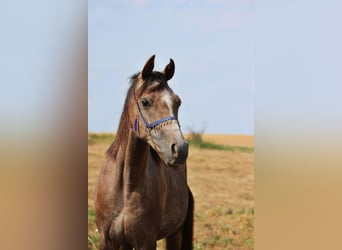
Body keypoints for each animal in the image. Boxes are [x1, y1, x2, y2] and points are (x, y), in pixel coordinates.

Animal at [95, 55, 194, 250]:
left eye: (178, 102)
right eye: (145, 102)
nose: (179, 149)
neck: (126, 187)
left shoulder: (146, 241)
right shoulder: (107, 241)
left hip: (175, 234)